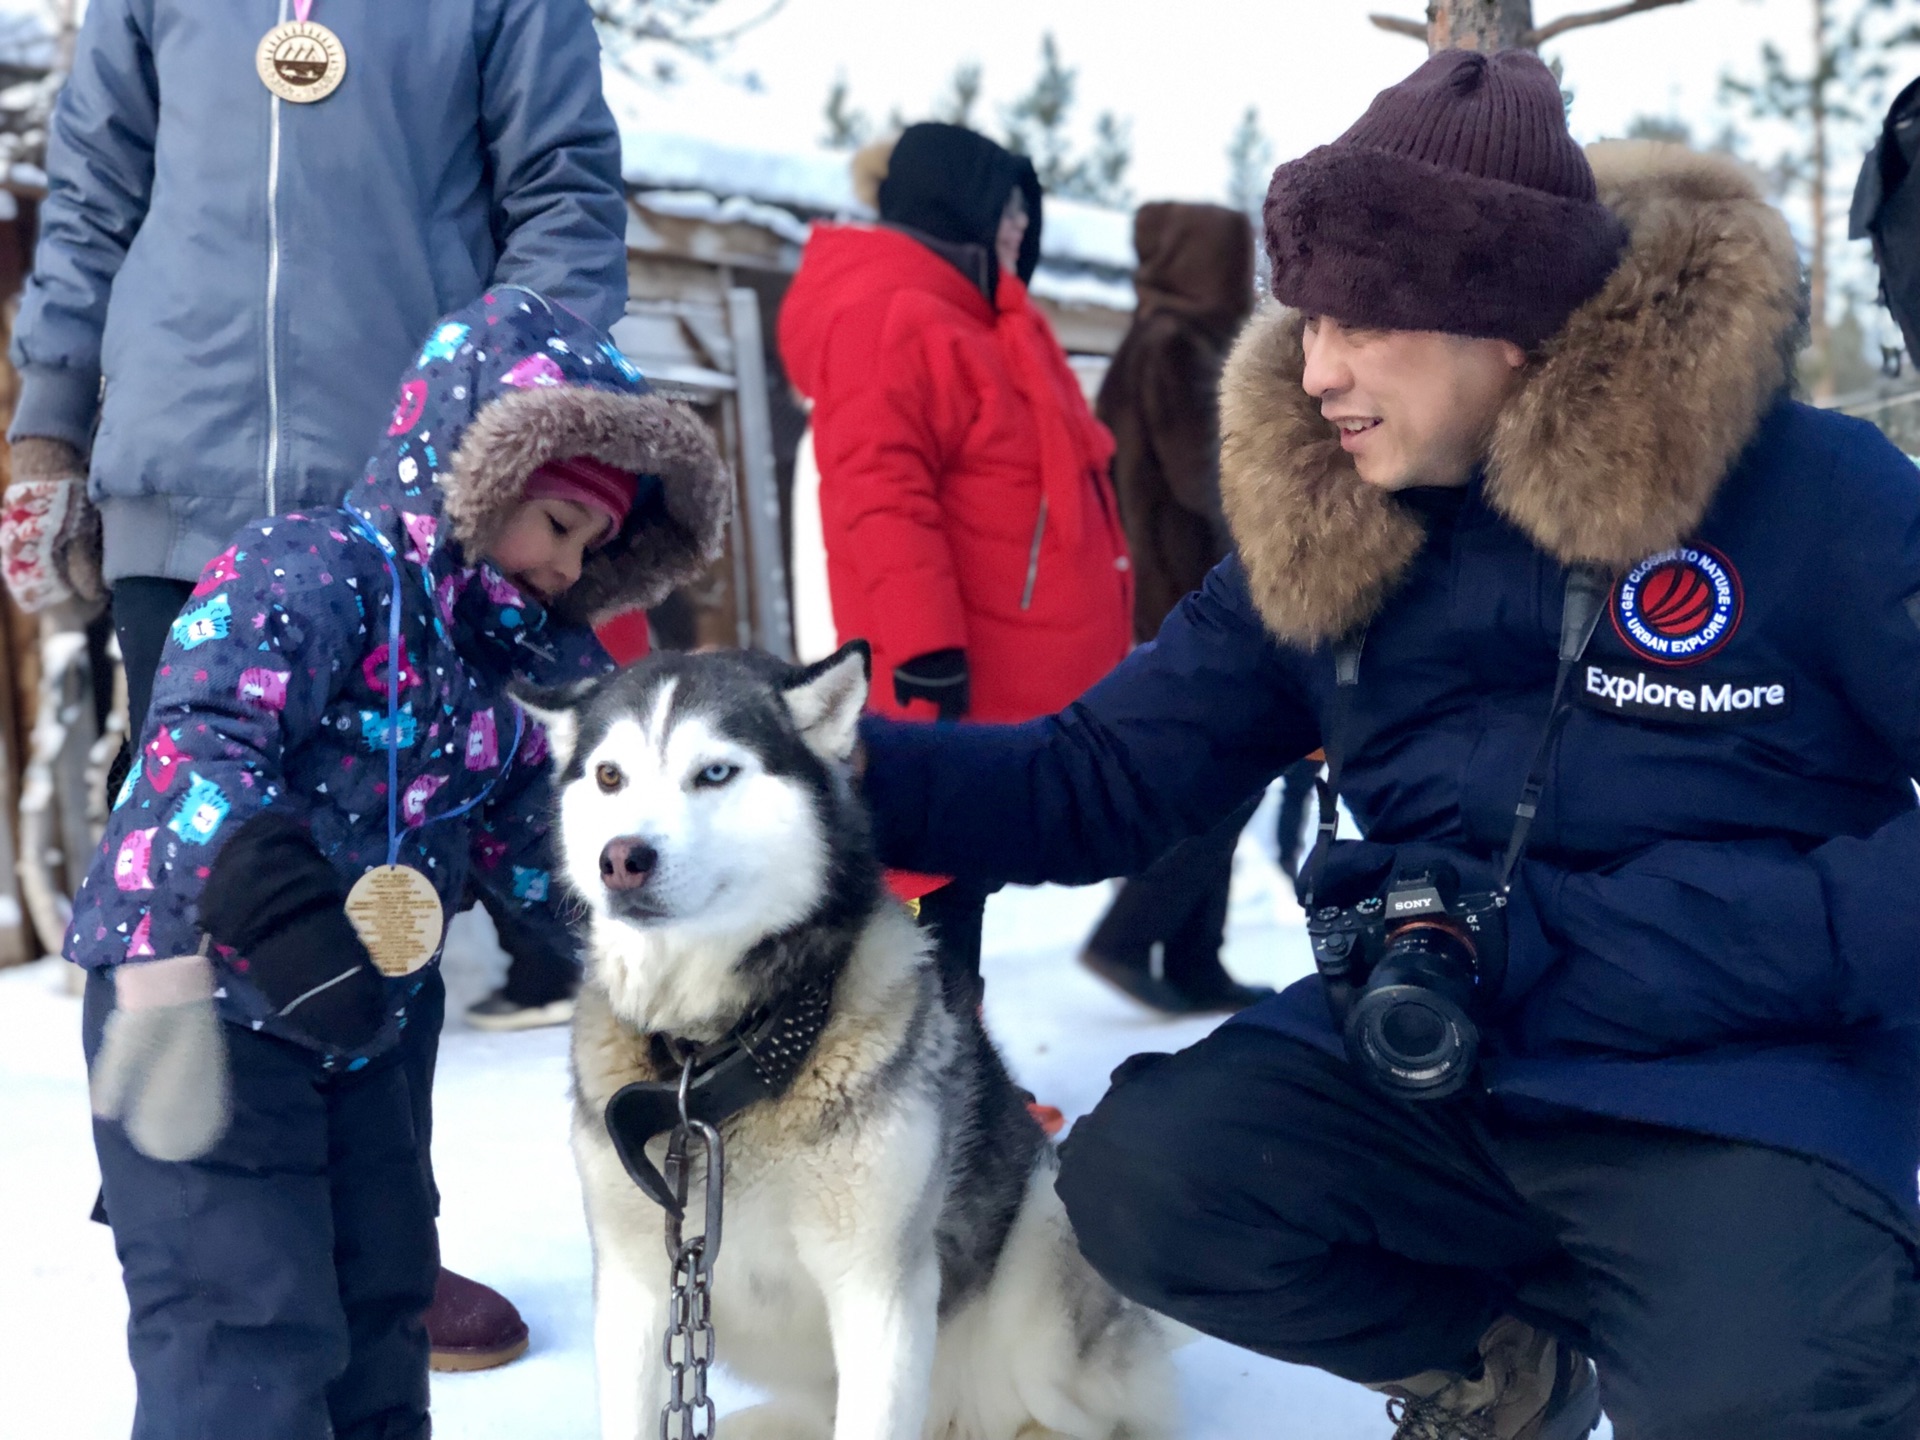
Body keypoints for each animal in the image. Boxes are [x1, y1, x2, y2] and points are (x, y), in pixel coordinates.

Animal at [529, 645, 1182, 1440]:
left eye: (714, 772)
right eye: (609, 776)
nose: (623, 858)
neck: (715, 1059)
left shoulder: (877, 1286)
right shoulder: (639, 1287)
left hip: (1047, 1280)